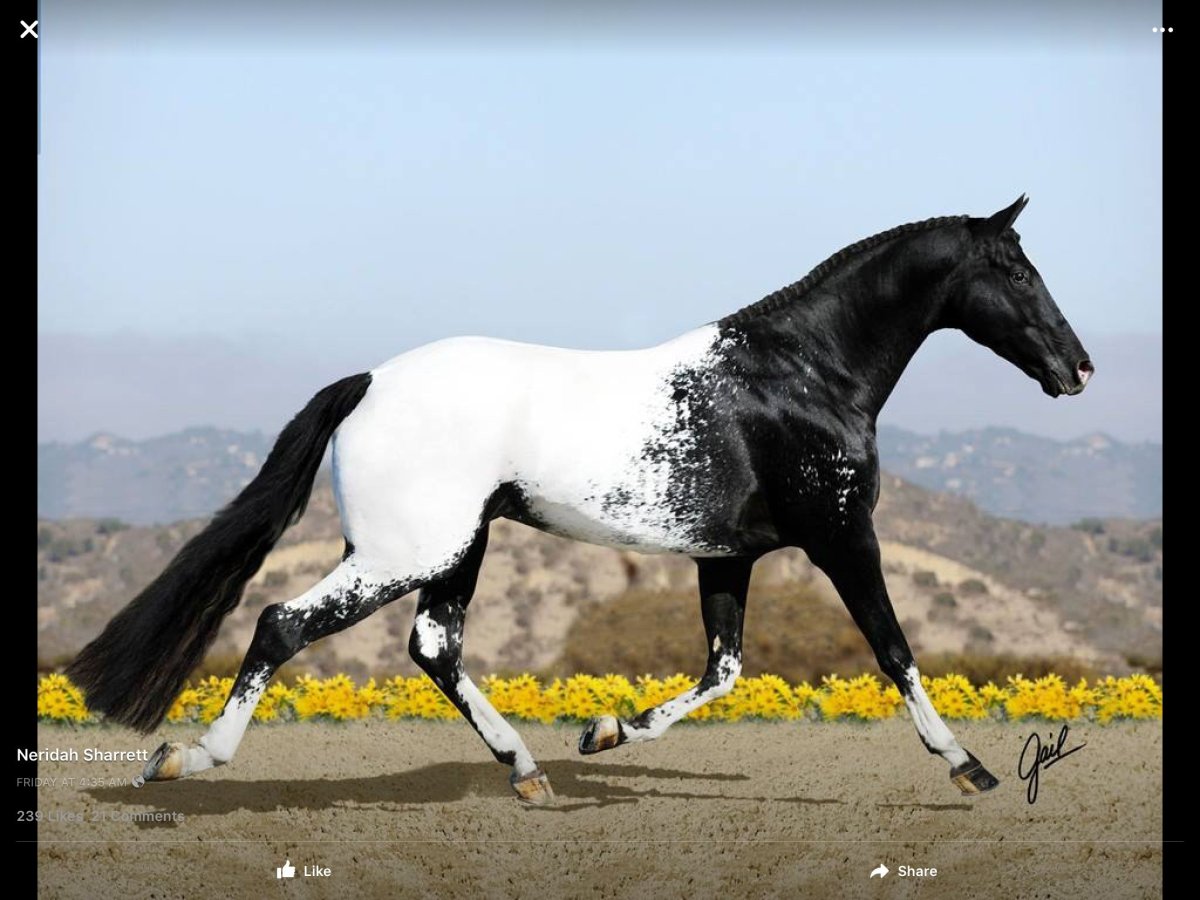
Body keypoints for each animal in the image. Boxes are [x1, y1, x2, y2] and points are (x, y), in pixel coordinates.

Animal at [66, 196, 1093, 805]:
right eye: (1015, 269)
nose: (1077, 368)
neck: (801, 374)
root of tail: (369, 382)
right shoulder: (843, 535)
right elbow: (894, 651)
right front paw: (970, 767)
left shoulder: (727, 554)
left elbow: (725, 669)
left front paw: (603, 732)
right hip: (405, 551)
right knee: (285, 622)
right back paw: (186, 759)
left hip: (455, 549)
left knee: (433, 647)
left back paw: (527, 773)